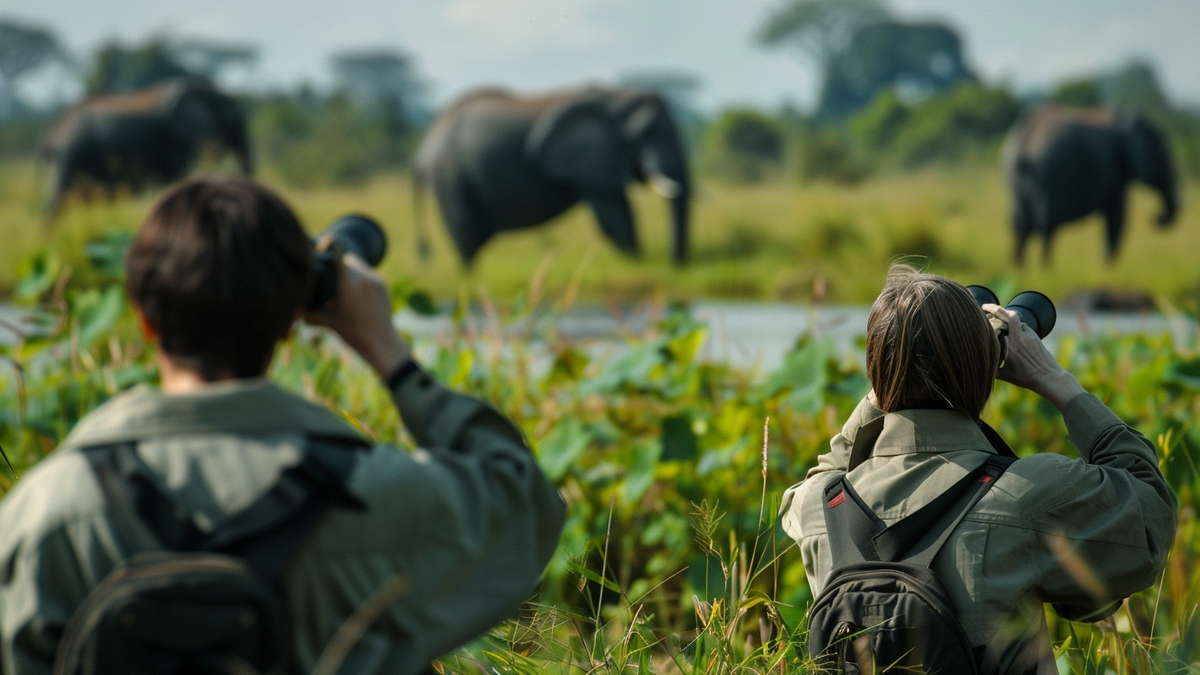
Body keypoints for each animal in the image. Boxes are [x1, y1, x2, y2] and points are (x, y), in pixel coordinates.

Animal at [415, 84, 691, 263]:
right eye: (649, 132)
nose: (677, 266)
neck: (618, 97)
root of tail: (425, 147)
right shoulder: (593, 159)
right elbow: (614, 215)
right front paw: (637, 263)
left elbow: (616, 208)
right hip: (450, 178)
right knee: (468, 238)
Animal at [998, 103, 1176, 264]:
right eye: (1163, 157)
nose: (1157, 218)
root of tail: (1022, 145)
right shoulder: (1115, 168)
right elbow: (1117, 214)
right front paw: (1105, 265)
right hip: (1048, 178)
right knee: (1046, 228)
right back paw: (1046, 269)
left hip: (1014, 180)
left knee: (1021, 229)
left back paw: (1022, 269)